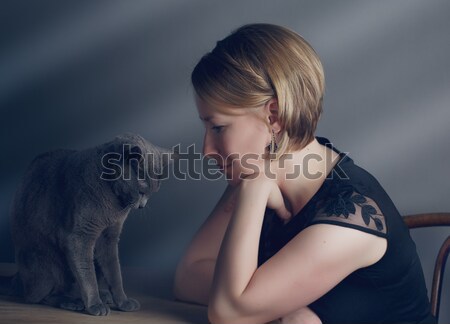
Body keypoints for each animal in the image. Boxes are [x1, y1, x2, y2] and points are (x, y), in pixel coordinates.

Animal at [9, 134, 174, 316]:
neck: (114, 204)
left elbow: (115, 272)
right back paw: (73, 302)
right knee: (40, 296)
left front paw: (123, 301)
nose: (142, 206)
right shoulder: (80, 236)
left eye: (152, 194)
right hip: (48, 261)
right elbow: (87, 273)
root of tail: (17, 278)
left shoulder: (110, 238)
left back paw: (102, 295)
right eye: (142, 192)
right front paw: (95, 304)